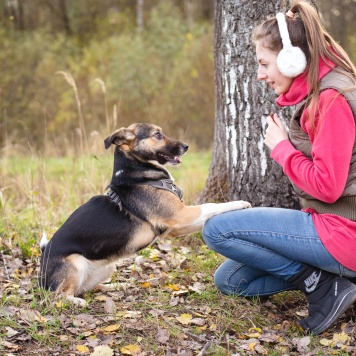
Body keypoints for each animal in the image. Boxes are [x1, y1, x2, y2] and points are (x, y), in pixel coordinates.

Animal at [39, 123, 250, 306]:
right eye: (157, 135)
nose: (185, 146)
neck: (138, 174)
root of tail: (41, 269)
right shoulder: (181, 215)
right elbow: (211, 205)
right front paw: (241, 203)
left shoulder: (177, 225)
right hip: (75, 263)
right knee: (58, 296)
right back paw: (76, 301)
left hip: (107, 267)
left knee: (86, 288)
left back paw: (113, 286)